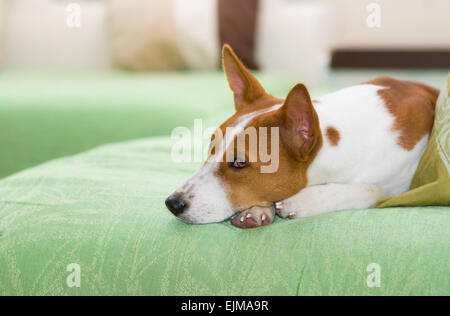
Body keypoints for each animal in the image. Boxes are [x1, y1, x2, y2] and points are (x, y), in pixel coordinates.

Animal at [163, 44, 438, 228]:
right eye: (210, 149)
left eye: (239, 163)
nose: (172, 203)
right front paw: (258, 209)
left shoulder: (399, 184)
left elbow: (370, 190)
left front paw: (306, 200)